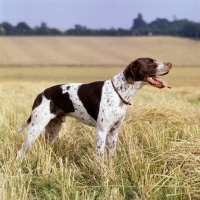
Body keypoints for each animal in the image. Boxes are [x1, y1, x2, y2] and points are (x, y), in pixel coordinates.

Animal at [17, 57, 172, 161]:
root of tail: (41, 94)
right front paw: (100, 175)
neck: (119, 91)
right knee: (21, 152)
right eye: (150, 62)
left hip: (53, 129)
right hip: (36, 127)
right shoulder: (101, 131)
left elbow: (111, 157)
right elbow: (99, 157)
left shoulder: (113, 132)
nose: (170, 63)